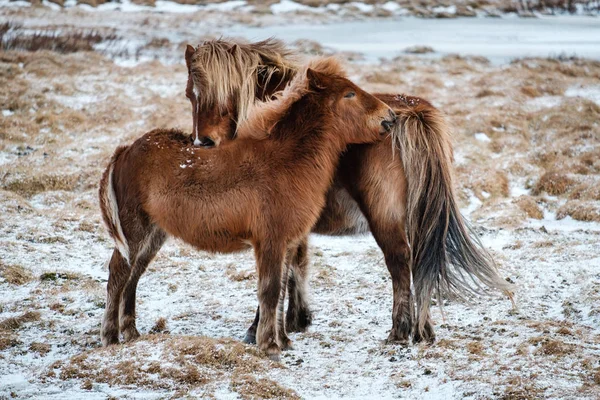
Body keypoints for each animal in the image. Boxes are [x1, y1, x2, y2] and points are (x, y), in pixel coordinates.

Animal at [98, 58, 396, 360]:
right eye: (349, 94)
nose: (390, 117)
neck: (287, 161)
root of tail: (125, 150)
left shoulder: (287, 243)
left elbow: (281, 291)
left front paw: (283, 340)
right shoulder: (270, 240)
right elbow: (270, 290)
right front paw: (269, 345)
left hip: (155, 233)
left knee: (134, 274)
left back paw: (131, 332)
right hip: (134, 229)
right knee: (118, 273)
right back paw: (110, 337)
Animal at [183, 38, 510, 344]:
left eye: (227, 91)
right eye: (190, 94)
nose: (204, 142)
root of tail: (409, 113)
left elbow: (279, 271)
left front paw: (260, 328)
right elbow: (298, 264)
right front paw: (296, 319)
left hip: (384, 218)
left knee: (400, 263)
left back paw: (399, 331)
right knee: (422, 263)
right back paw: (423, 331)